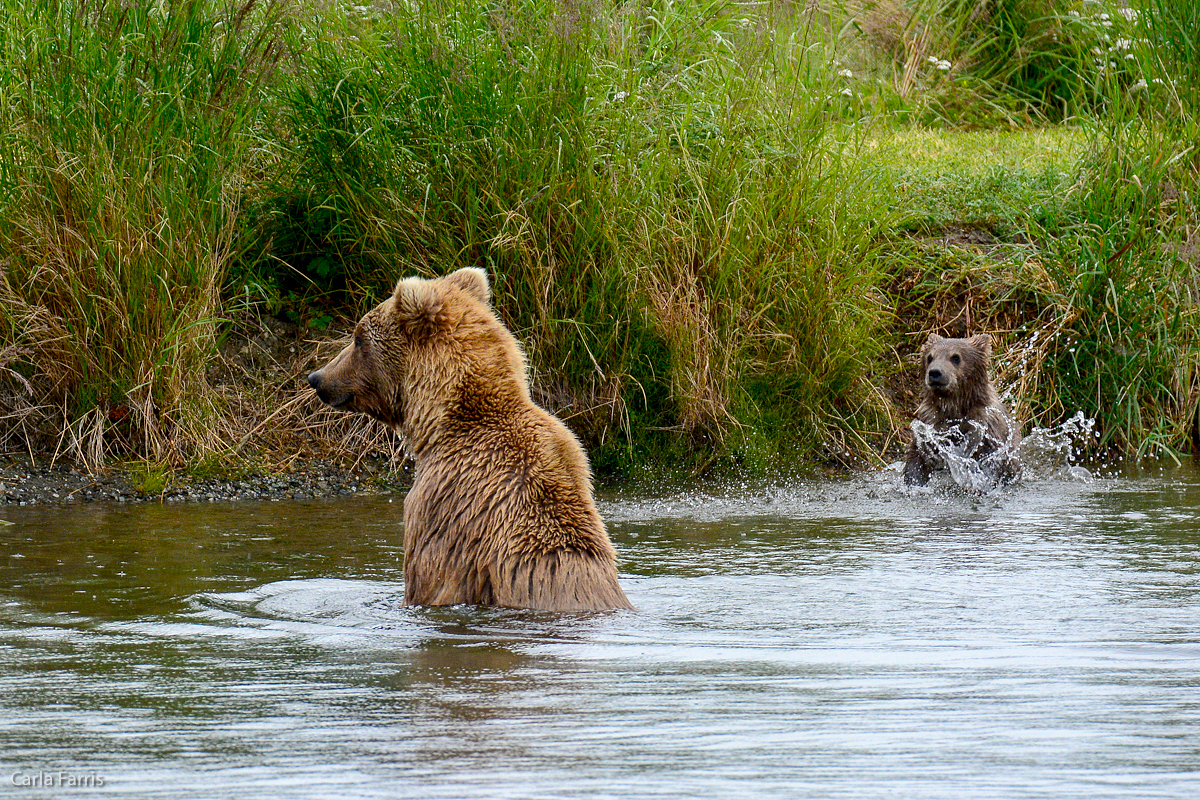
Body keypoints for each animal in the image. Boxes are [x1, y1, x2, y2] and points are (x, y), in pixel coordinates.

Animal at [902, 333, 1022, 489]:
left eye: (955, 357)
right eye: (929, 357)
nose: (935, 373)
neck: (955, 407)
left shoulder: (986, 427)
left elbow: (991, 460)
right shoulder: (929, 425)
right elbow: (918, 457)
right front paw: (914, 482)